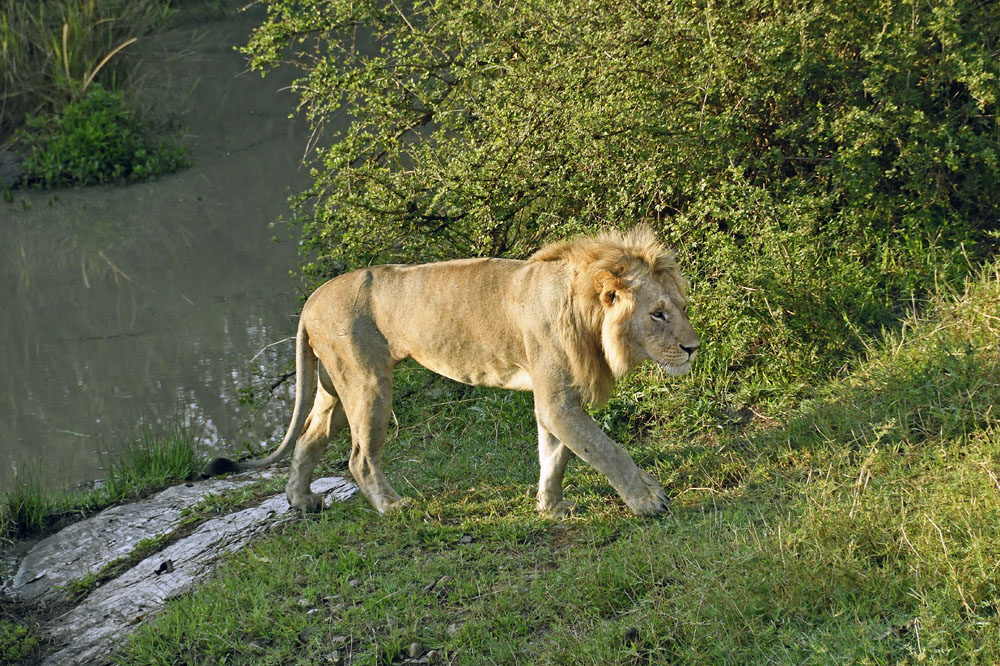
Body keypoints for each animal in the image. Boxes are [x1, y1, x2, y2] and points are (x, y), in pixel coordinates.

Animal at [205, 225, 700, 516]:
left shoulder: (556, 399)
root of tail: (310, 301)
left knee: (309, 438)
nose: (693, 348)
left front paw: (550, 507)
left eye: (682, 307)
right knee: (360, 457)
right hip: (368, 385)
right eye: (657, 314)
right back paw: (392, 507)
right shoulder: (558, 400)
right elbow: (605, 449)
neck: (586, 314)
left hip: (333, 389)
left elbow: (555, 455)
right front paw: (648, 499)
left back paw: (302, 499)